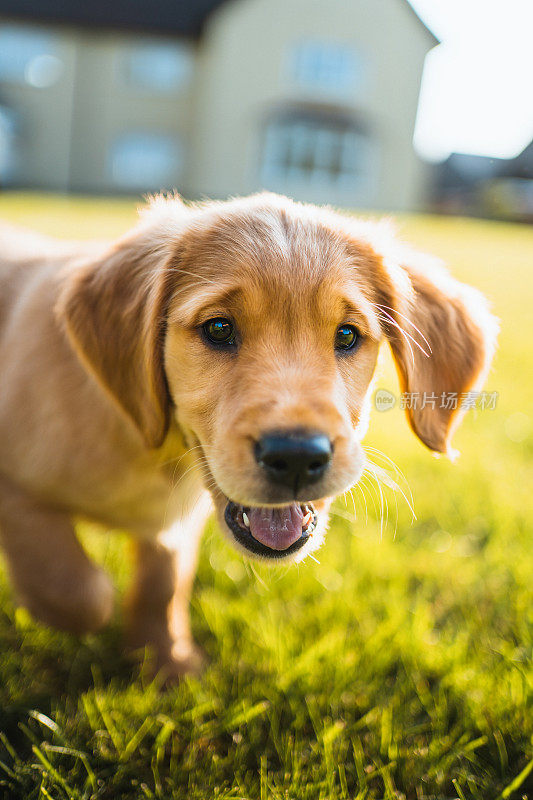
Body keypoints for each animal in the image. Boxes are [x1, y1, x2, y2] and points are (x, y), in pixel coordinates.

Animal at [0, 192, 496, 676]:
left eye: (347, 335)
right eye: (219, 328)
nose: (296, 457)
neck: (153, 447)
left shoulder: (179, 523)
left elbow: (163, 583)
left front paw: (166, 663)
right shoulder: (18, 498)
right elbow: (79, 592)